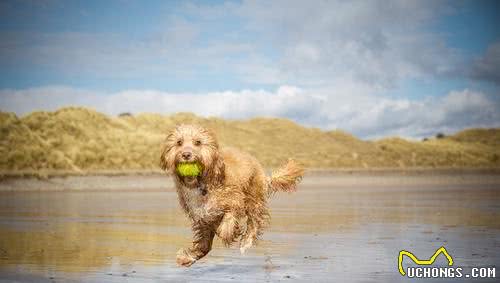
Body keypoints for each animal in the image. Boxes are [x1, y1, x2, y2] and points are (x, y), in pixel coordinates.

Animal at [160, 125, 304, 268]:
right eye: (179, 142)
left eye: (198, 142)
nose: (186, 154)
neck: (202, 183)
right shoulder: (203, 218)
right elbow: (204, 245)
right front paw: (187, 257)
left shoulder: (234, 199)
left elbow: (228, 220)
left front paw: (228, 232)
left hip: (253, 197)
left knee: (255, 221)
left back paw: (246, 242)